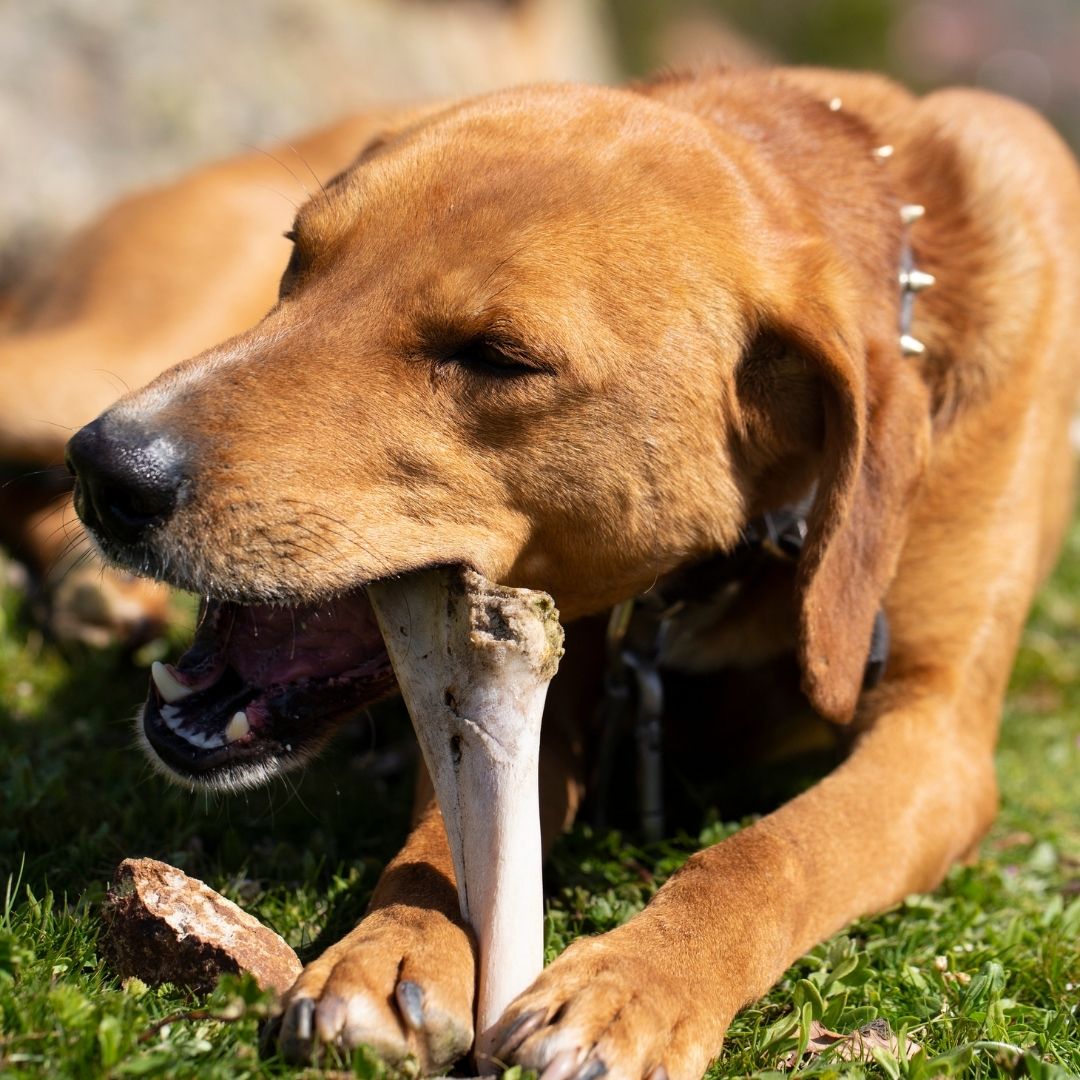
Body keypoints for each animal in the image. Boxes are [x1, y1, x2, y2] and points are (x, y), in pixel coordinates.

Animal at [59, 69, 1080, 1080]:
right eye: (297, 257)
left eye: (498, 358)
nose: (108, 470)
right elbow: (454, 834)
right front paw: (388, 950)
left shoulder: (934, 741)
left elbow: (771, 852)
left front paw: (635, 984)